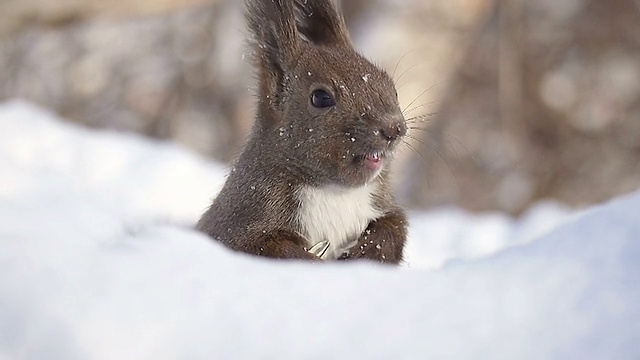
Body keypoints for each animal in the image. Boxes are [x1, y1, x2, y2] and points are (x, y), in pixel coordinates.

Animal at [195, 0, 408, 264]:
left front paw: (368, 249)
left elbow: (395, 226)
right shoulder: (240, 225)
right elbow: (270, 249)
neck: (335, 192)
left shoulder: (381, 202)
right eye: (321, 97)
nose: (395, 128)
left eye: (389, 83)